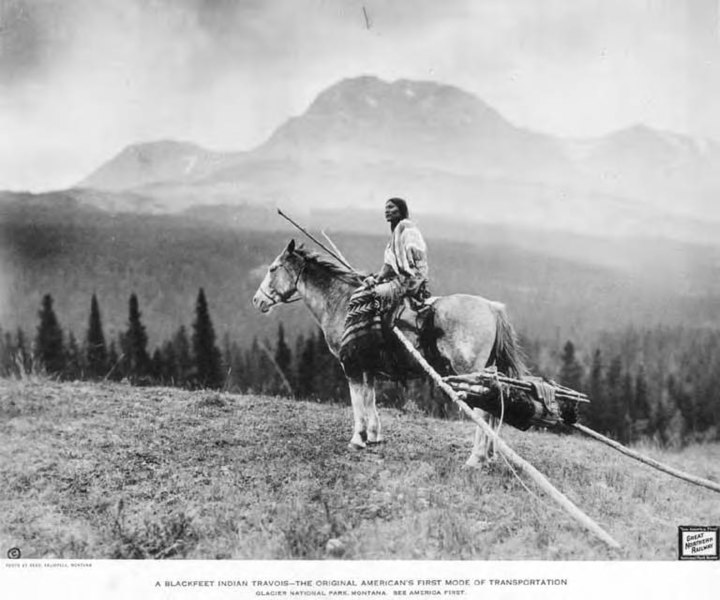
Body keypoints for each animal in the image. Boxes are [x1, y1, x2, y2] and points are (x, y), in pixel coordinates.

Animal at [250, 239, 524, 464]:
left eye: (273, 268)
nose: (257, 301)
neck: (342, 302)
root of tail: (491, 308)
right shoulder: (367, 367)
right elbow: (369, 398)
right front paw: (373, 436)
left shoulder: (351, 365)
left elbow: (357, 400)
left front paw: (358, 438)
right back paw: (490, 455)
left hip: (470, 374)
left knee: (482, 411)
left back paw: (476, 458)